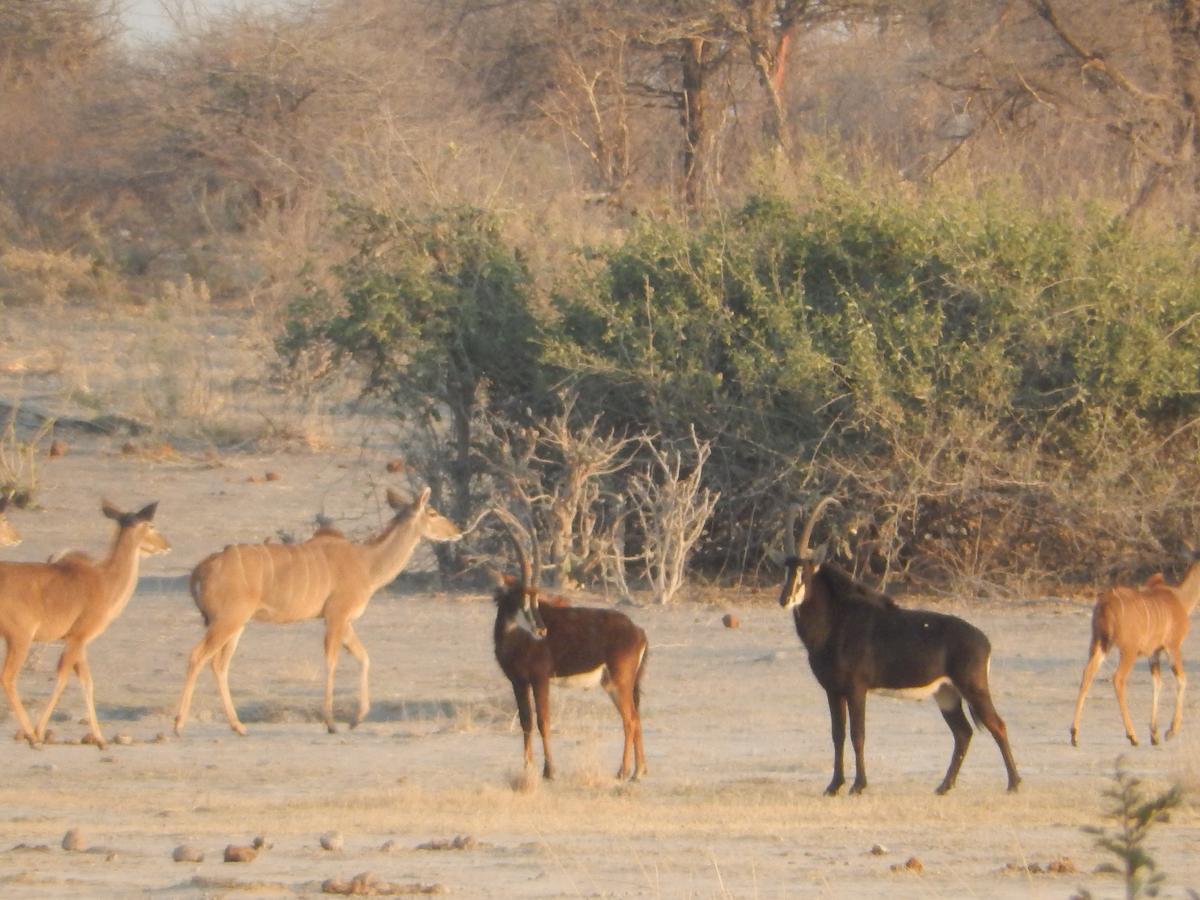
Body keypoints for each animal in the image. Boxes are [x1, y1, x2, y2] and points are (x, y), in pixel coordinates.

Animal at [0, 501, 169, 748]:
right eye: (151, 525)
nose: (167, 545)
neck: (105, 581)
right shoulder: (78, 638)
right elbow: (63, 677)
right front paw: (39, 732)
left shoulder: (78, 642)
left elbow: (87, 681)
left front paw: (100, 738)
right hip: (20, 639)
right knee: (8, 677)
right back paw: (31, 735)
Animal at [175, 489, 460, 734]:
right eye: (432, 512)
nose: (458, 531)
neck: (366, 564)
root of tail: (200, 570)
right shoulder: (336, 616)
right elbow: (332, 662)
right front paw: (331, 723)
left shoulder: (345, 621)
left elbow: (364, 657)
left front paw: (356, 719)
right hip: (227, 620)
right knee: (197, 656)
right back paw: (178, 724)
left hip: (235, 624)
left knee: (219, 664)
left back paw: (238, 726)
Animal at [487, 508, 648, 782]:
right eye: (521, 596)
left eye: (536, 597)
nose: (541, 630)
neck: (515, 637)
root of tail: (637, 630)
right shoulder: (518, 682)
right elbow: (526, 722)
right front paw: (528, 767)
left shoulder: (539, 679)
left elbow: (543, 721)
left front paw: (549, 770)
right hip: (616, 684)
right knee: (636, 717)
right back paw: (639, 771)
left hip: (619, 683)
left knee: (630, 720)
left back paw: (624, 772)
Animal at [777, 501, 1022, 796]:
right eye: (786, 569)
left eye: (805, 571)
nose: (785, 599)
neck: (836, 620)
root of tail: (984, 641)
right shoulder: (833, 691)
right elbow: (838, 735)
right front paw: (834, 785)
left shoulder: (856, 689)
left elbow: (858, 735)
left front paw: (858, 785)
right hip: (946, 694)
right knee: (963, 733)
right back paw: (943, 786)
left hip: (973, 689)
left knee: (998, 725)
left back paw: (1013, 783)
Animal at [1070, 564, 1200, 748]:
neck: (1181, 598)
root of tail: (1105, 603)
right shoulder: (1172, 646)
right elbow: (1182, 679)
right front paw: (1170, 731)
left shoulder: (1153, 652)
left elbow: (1157, 683)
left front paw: (1154, 734)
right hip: (1128, 650)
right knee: (1118, 678)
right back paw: (1133, 736)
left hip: (1099, 643)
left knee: (1088, 673)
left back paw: (1074, 735)